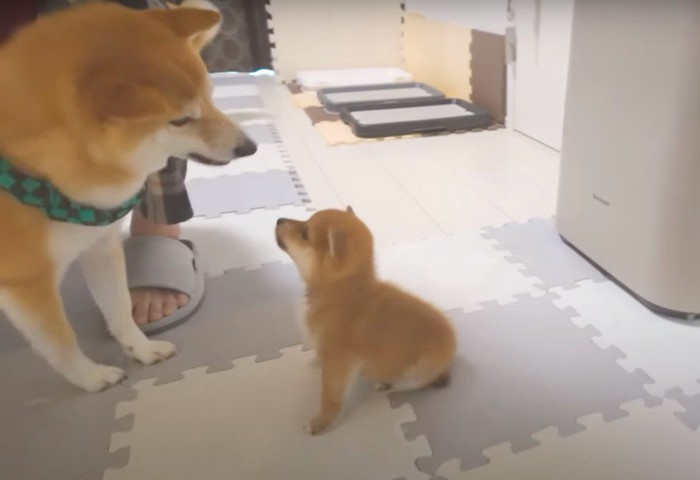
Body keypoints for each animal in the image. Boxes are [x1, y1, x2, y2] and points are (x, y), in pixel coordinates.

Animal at [0, 1, 258, 392]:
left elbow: (120, 307)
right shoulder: (27, 284)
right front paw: (91, 378)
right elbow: (62, 343)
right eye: (180, 120)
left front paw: (142, 349)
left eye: (211, 98)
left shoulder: (99, 244)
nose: (250, 147)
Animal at [276, 208, 456, 434]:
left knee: (414, 383)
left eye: (305, 233)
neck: (340, 292)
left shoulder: (339, 362)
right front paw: (316, 358)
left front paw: (320, 422)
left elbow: (330, 398)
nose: (278, 219)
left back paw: (385, 384)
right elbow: (319, 351)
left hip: (419, 368)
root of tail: (451, 353)